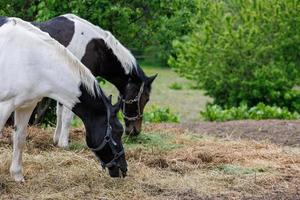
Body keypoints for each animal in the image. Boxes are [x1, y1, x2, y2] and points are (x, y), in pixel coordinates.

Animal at [0, 17, 127, 181]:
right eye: (117, 132)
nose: (124, 168)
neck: (30, 58)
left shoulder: (26, 106)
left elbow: (19, 138)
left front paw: (17, 176)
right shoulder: (4, 106)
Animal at [31, 12, 156, 147]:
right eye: (145, 99)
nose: (135, 131)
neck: (95, 48)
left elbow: (59, 112)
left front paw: (56, 140)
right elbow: (67, 115)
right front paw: (64, 144)